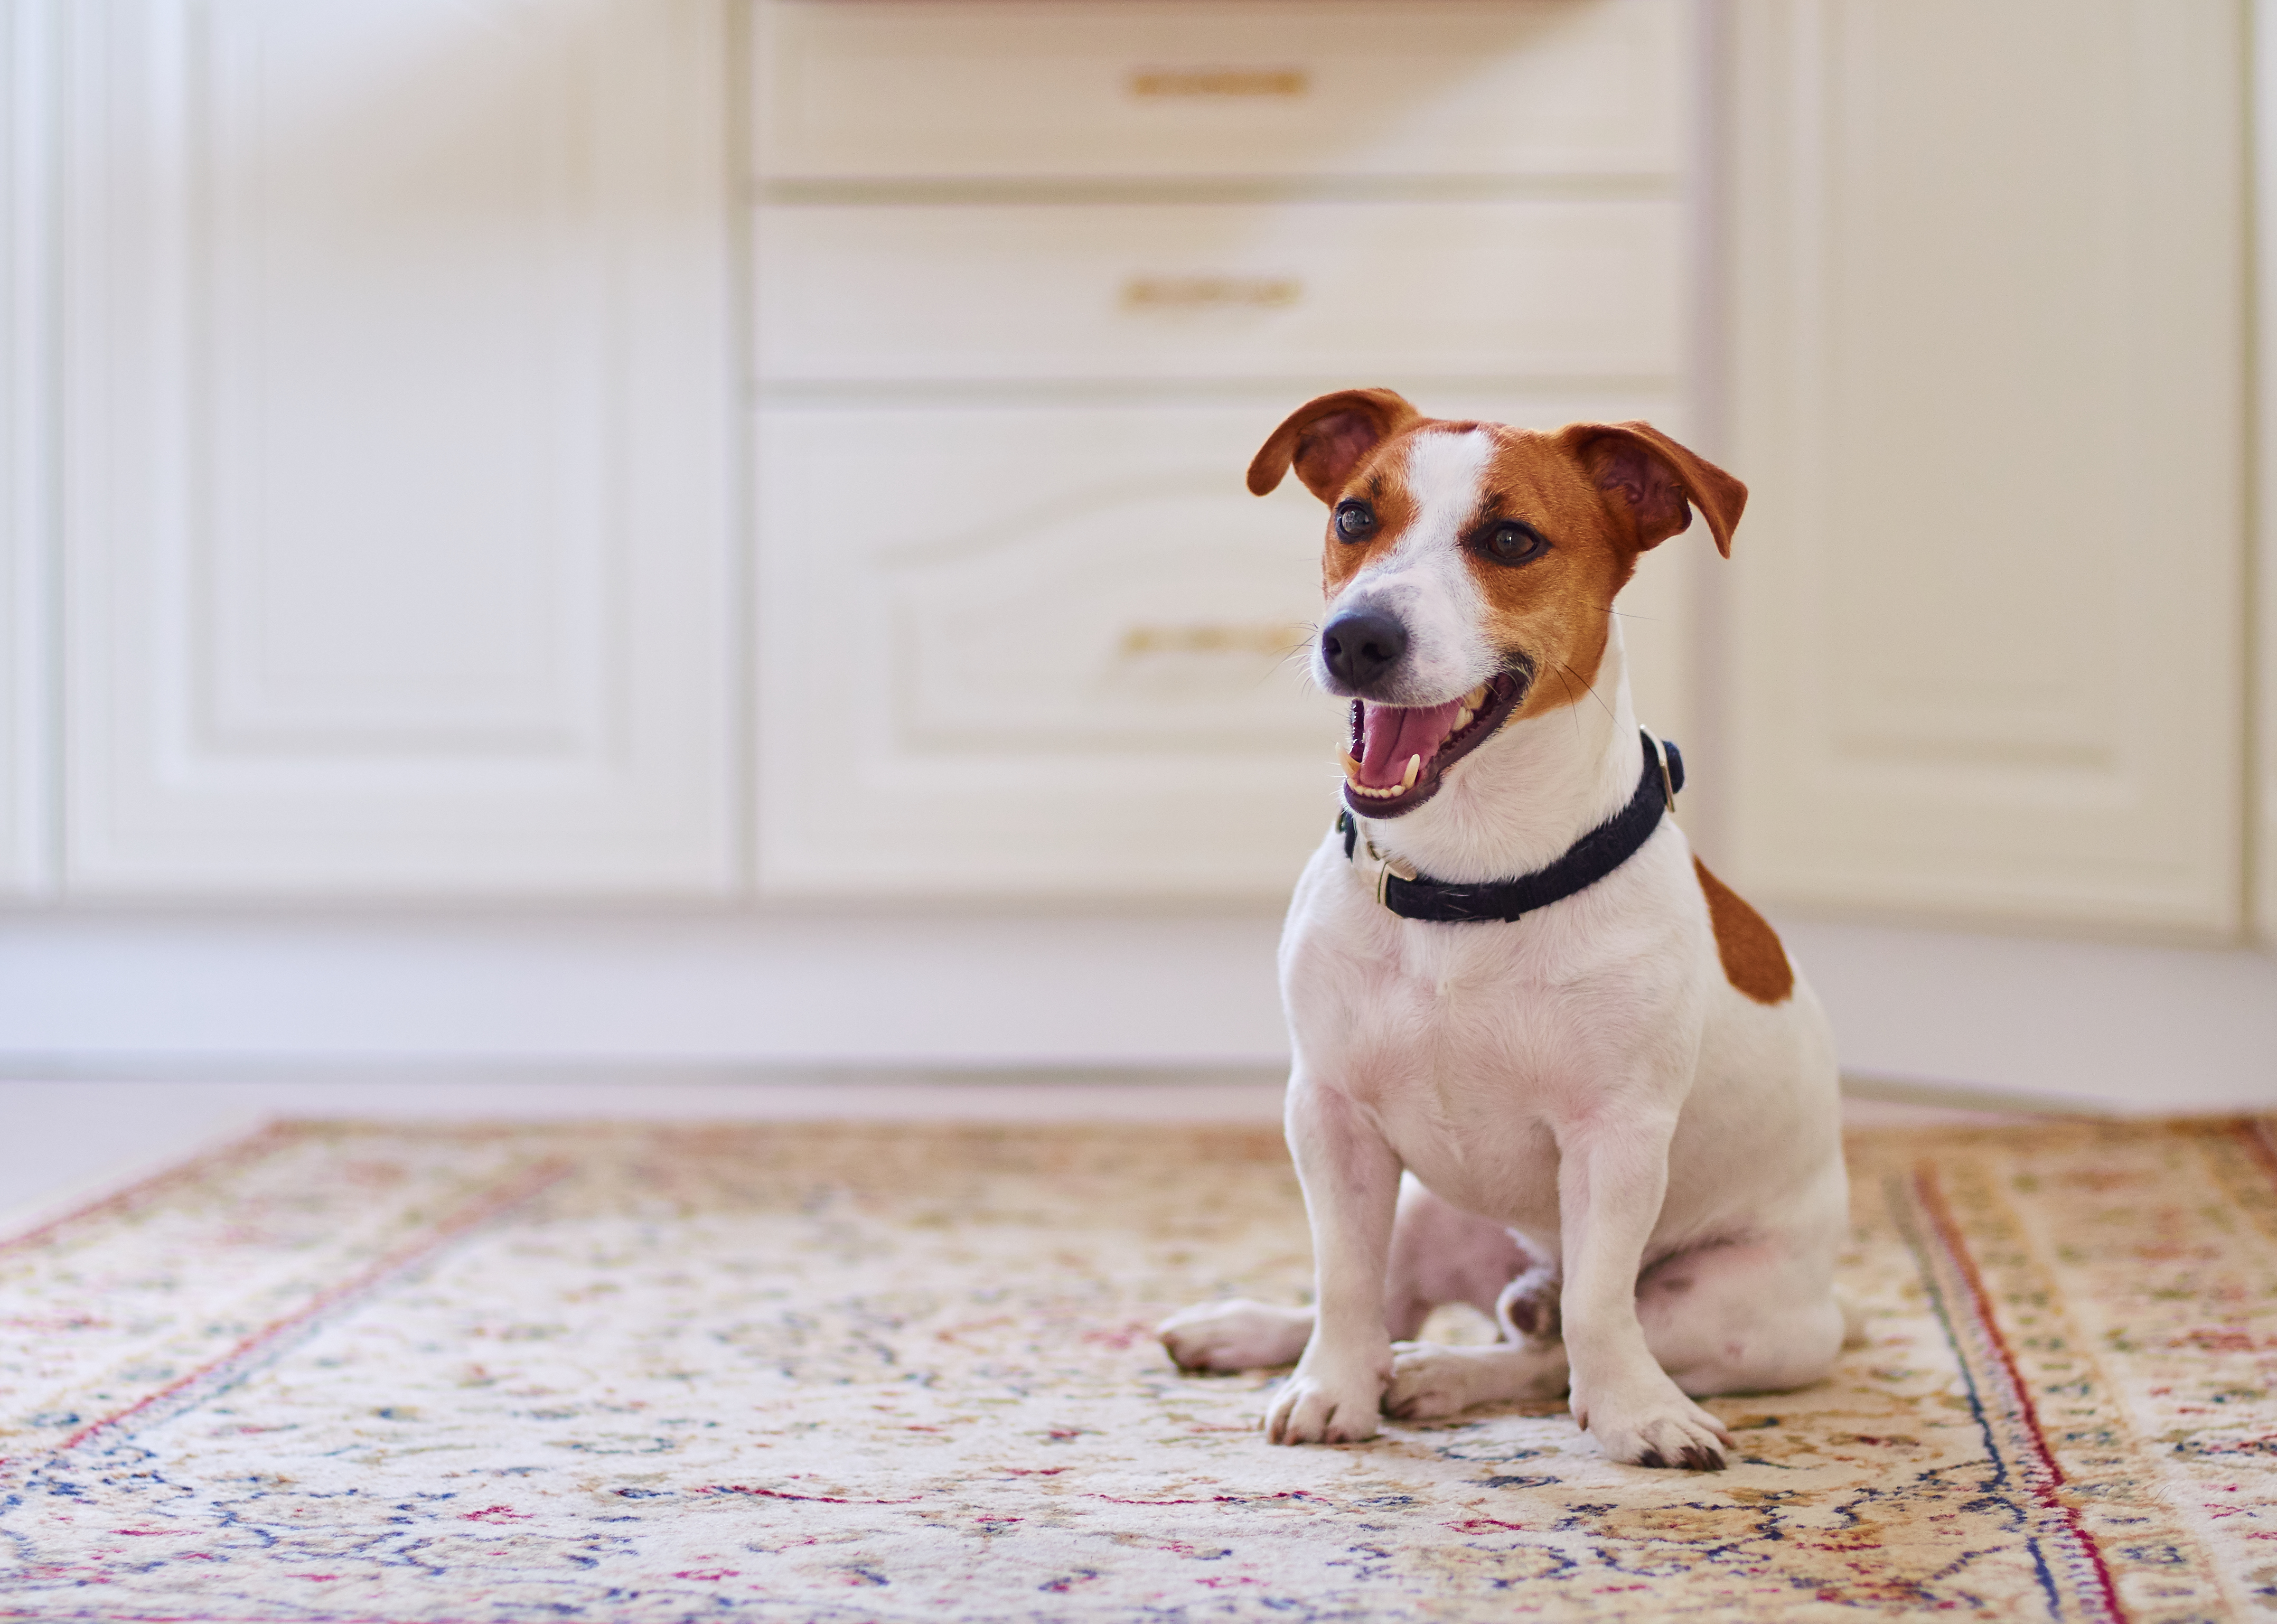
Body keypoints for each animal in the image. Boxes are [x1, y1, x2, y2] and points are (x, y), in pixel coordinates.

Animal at [1156, 389, 1849, 1467]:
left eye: (1511, 540)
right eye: (1355, 515)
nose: (1356, 638)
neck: (1465, 879)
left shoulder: (1615, 1138)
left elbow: (1600, 1309)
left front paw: (1637, 1417)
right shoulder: (1330, 1114)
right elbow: (1343, 1282)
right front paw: (1328, 1389)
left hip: (1733, 1307)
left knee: (1552, 1343)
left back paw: (1453, 1372)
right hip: (1424, 1206)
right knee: (1397, 1303)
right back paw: (1264, 1335)